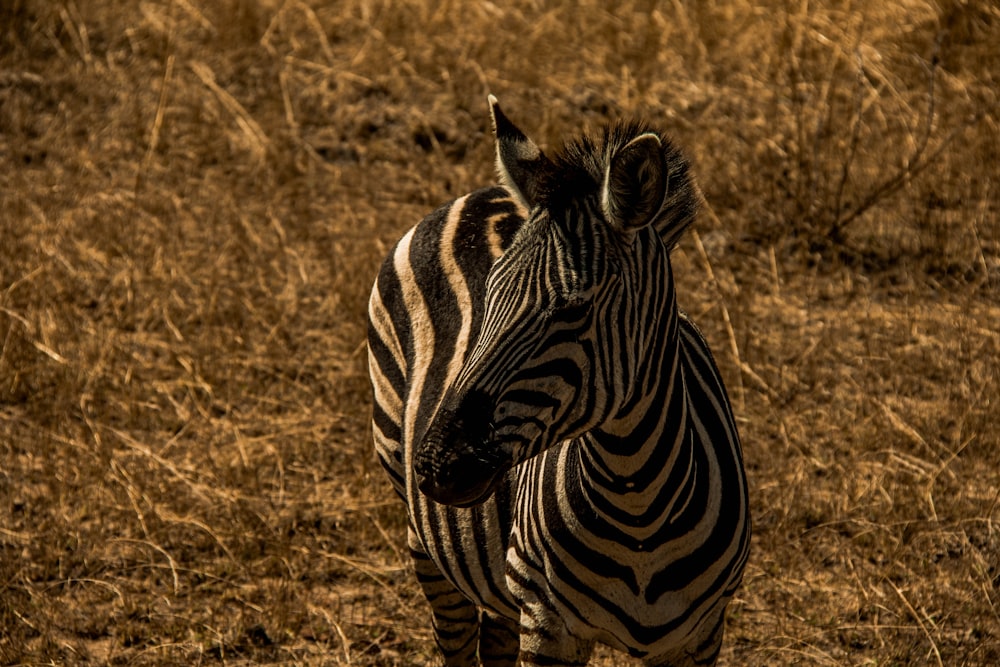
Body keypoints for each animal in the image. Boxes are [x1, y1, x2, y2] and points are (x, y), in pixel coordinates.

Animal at [368, 95, 752, 667]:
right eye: (488, 298)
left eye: (573, 310)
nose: (437, 465)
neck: (638, 503)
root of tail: (482, 192)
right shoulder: (547, 622)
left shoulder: (701, 636)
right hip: (418, 521)